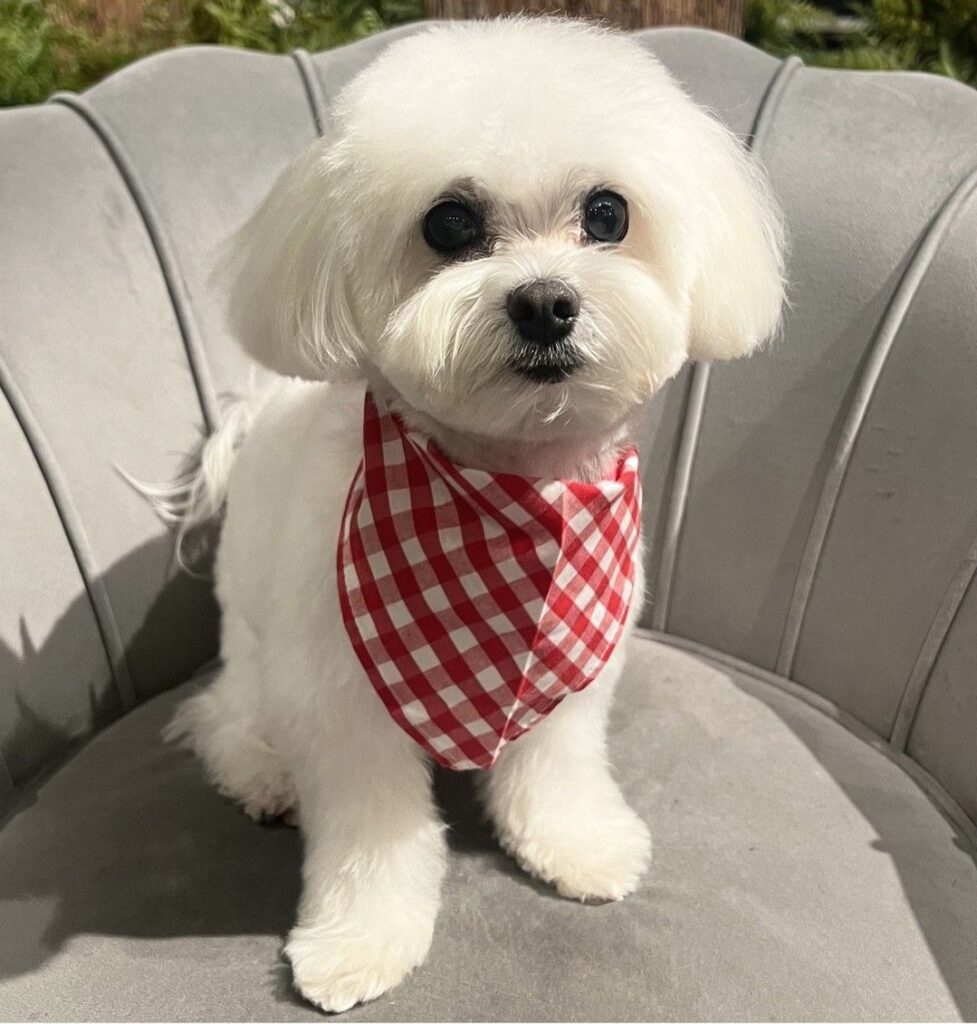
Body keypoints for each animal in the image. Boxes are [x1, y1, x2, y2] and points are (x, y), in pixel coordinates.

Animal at [163, 18, 782, 1015]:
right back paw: (262, 773)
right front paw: (359, 940)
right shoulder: (340, 697)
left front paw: (575, 843)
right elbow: (369, 832)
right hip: (256, 654)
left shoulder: (574, 660)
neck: (506, 493)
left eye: (606, 215)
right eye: (448, 224)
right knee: (223, 715)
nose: (545, 302)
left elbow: (556, 767)